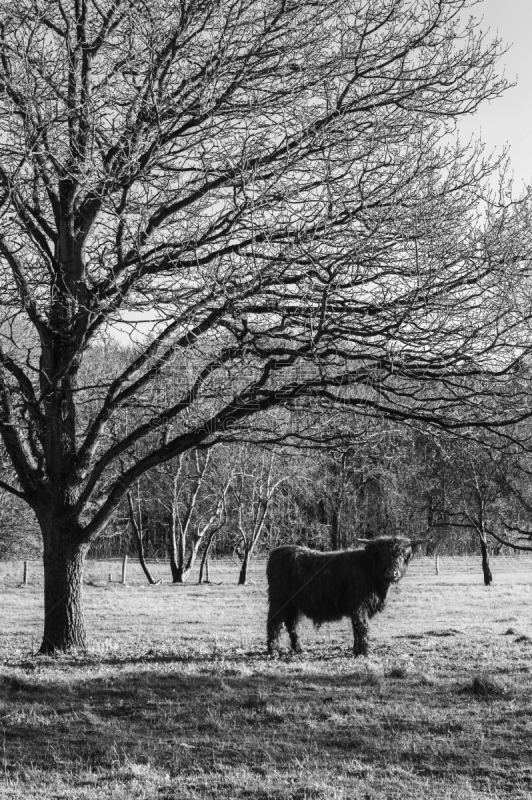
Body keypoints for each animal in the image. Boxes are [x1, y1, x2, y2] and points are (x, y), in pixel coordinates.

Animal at [266, 536, 424, 656]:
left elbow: (358, 628)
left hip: (294, 604)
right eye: (382, 555)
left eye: (402, 554)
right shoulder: (359, 606)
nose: (392, 573)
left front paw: (357, 649)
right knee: (274, 622)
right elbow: (361, 626)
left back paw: (299, 648)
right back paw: (273, 650)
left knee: (292, 624)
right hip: (279, 599)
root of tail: (276, 552)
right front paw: (363, 651)